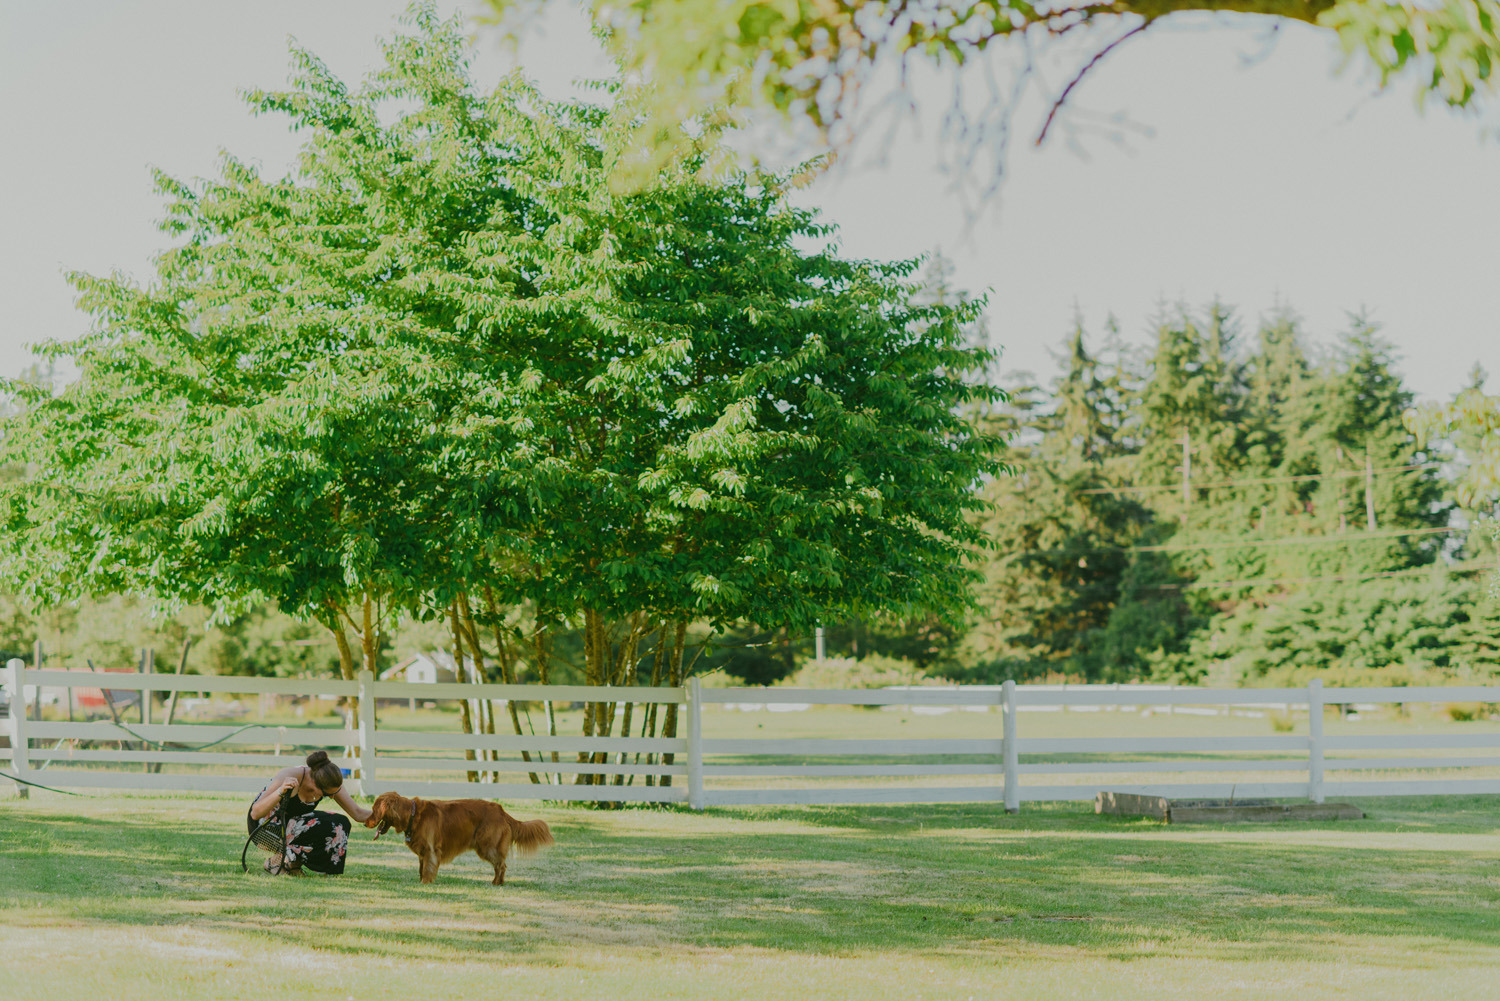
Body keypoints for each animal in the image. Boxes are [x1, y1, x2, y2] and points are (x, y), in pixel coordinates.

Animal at [366, 792, 555, 882]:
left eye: (374, 809)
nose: (365, 822)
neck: (413, 815)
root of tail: (501, 810)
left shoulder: (431, 850)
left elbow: (427, 869)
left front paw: (426, 883)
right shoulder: (423, 852)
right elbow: (421, 868)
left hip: (488, 845)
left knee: (501, 865)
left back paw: (496, 883)